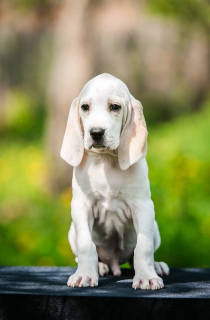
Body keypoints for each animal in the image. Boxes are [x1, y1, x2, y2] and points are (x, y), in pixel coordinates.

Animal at [60, 73, 169, 290]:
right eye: (85, 107)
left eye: (115, 107)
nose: (95, 132)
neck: (106, 161)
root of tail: (115, 264)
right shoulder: (81, 207)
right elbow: (86, 245)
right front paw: (85, 275)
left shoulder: (143, 207)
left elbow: (143, 247)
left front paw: (147, 277)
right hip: (71, 232)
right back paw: (100, 267)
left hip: (154, 227)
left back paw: (157, 266)